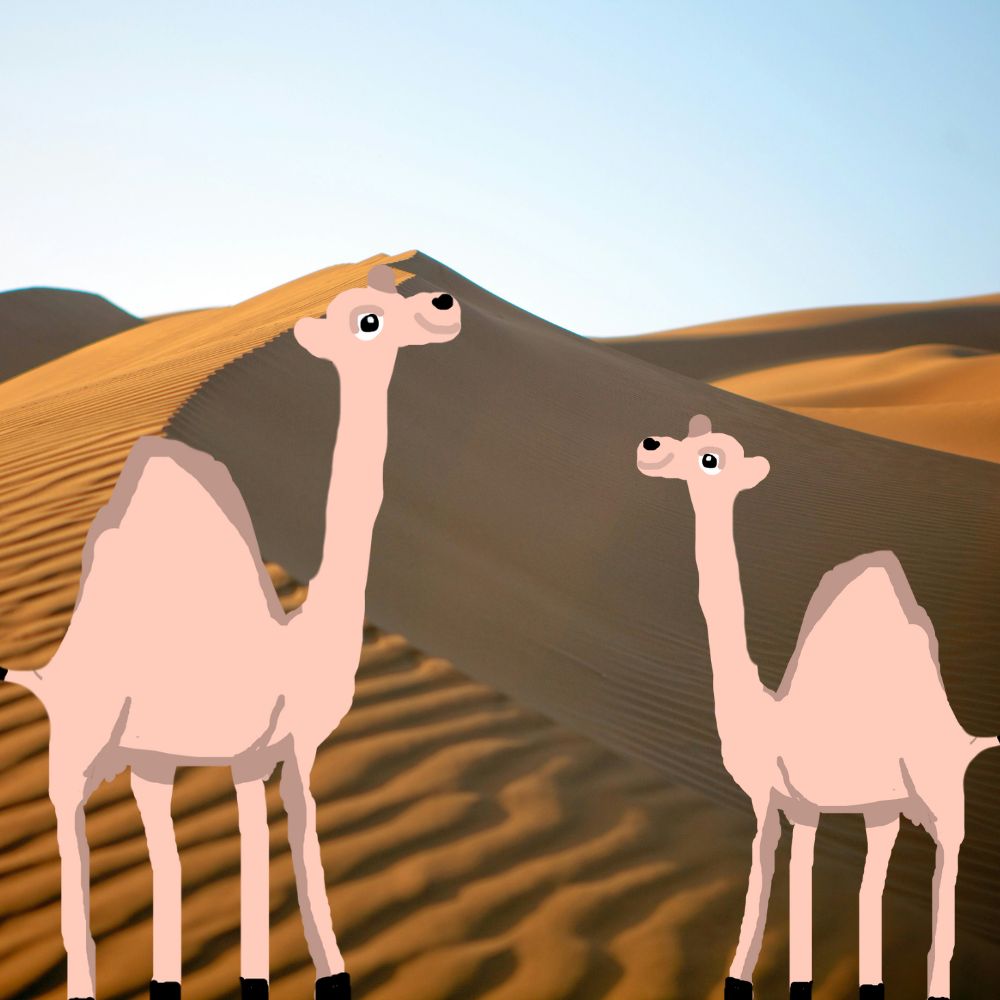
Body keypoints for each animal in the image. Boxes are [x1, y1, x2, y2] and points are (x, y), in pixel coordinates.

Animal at [2, 264, 461, 1000]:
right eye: (367, 319)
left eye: (403, 295)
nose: (445, 301)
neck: (302, 639)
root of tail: (52, 668)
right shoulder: (297, 745)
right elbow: (301, 839)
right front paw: (332, 974)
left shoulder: (254, 755)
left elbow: (252, 848)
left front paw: (260, 980)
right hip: (80, 740)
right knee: (71, 834)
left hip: (149, 754)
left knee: (163, 851)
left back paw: (163, 979)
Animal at [636, 414, 997, 1000]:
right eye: (685, 437)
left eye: (711, 458)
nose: (650, 445)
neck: (762, 712)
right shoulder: (802, 803)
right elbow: (800, 872)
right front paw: (797, 982)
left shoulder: (765, 795)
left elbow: (763, 866)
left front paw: (738, 979)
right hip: (883, 802)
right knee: (875, 873)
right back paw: (872, 983)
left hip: (940, 788)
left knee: (948, 863)